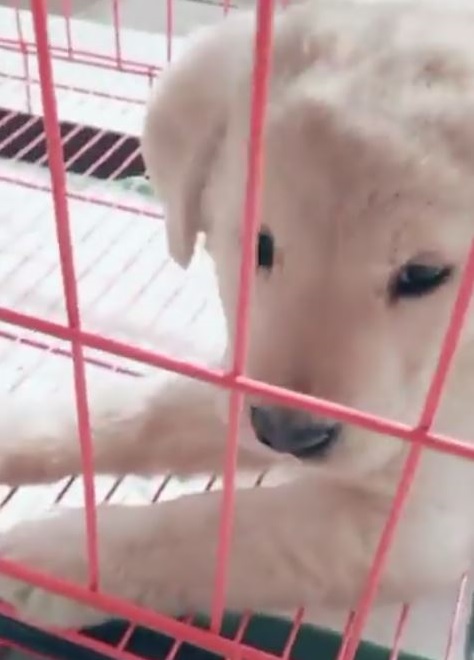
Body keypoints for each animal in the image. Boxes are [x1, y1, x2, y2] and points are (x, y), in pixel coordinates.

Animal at [0, 0, 472, 653]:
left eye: (425, 274)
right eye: (257, 244)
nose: (287, 435)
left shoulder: (417, 524)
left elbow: (221, 531)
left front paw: (57, 556)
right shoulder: (239, 377)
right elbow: (143, 412)